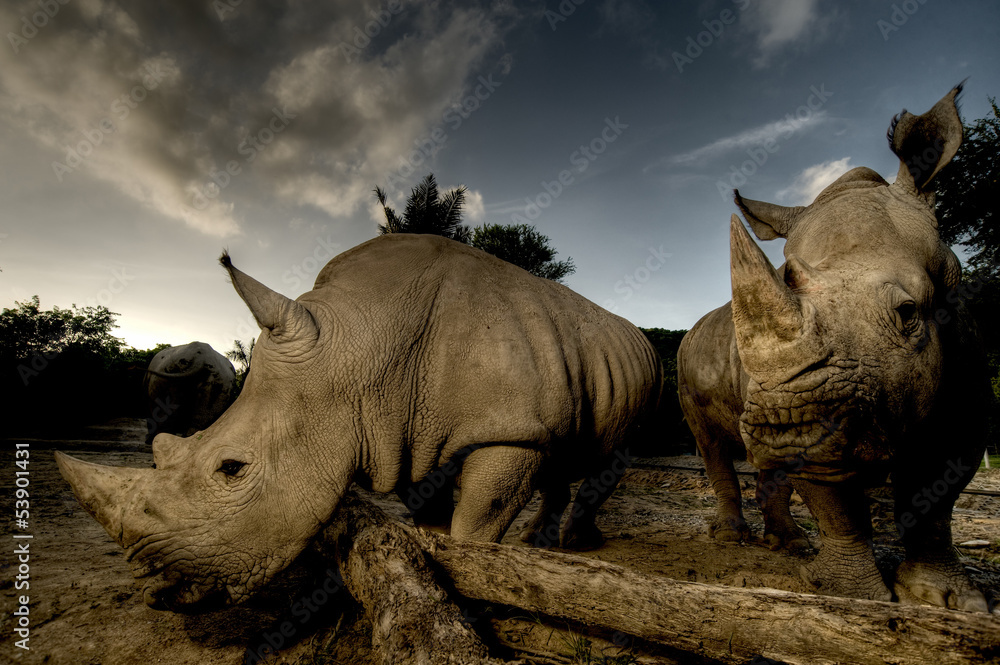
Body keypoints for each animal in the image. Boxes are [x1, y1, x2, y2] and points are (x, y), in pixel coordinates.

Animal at [56, 234, 662, 612]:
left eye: (232, 468)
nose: (158, 594)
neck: (368, 345)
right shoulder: (411, 422)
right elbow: (426, 500)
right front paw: (432, 553)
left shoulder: (509, 429)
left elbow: (481, 514)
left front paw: (477, 582)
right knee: (562, 455)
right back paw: (542, 546)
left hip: (645, 373)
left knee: (610, 455)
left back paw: (576, 548)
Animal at [677, 85, 990, 612]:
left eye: (908, 313)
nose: (788, 427)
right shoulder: (800, 411)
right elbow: (834, 501)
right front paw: (845, 594)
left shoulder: (964, 393)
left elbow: (935, 496)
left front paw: (945, 600)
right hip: (691, 367)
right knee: (713, 444)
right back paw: (732, 538)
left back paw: (789, 545)